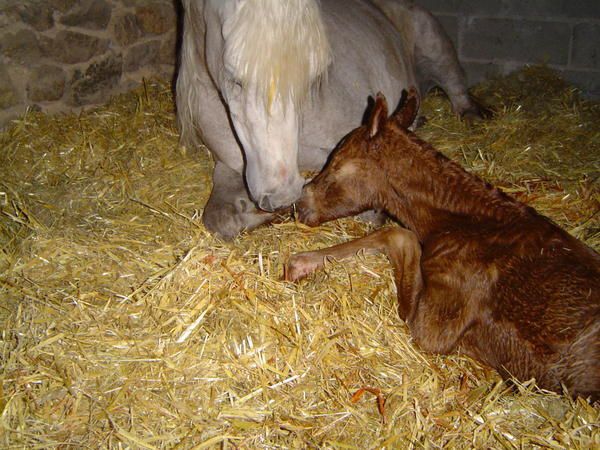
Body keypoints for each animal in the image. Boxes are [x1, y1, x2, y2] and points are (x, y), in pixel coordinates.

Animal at [176, 0, 480, 239]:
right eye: (234, 78)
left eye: (313, 78)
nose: (282, 196)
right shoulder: (229, 164)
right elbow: (219, 219)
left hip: (436, 49)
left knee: (457, 90)